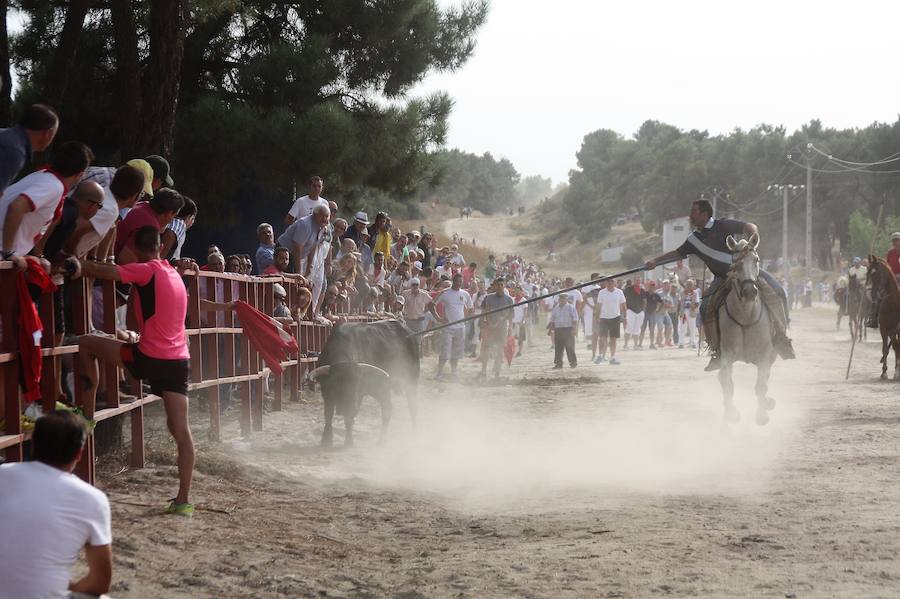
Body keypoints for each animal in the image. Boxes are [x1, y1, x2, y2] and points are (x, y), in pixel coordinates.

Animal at [712, 234, 776, 426]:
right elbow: (727, 382)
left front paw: (762, 413)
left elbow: (761, 383)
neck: (746, 314)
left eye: (756, 260)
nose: (749, 292)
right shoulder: (726, 354)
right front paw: (731, 413)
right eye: (736, 263)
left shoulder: (765, 354)